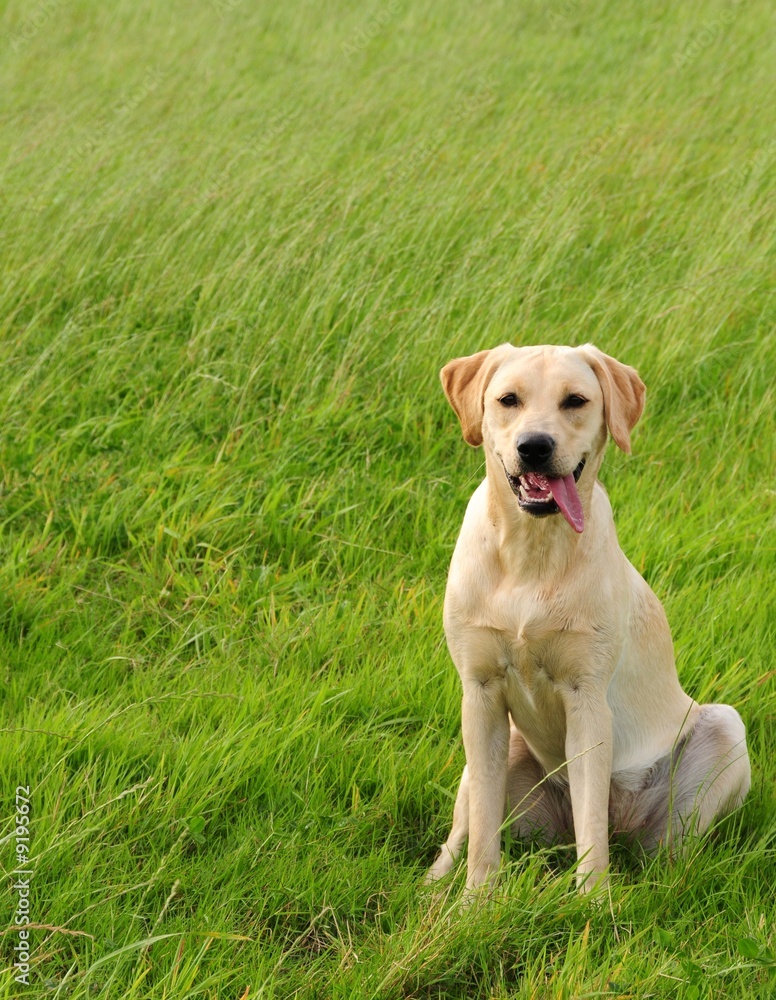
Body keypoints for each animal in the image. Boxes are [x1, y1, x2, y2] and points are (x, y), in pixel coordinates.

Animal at [428, 342, 748, 892]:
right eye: (508, 400)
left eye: (575, 401)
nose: (535, 446)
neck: (532, 554)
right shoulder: (481, 695)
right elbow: (484, 834)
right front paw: (475, 900)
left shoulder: (587, 699)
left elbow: (592, 831)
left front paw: (593, 903)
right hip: (495, 750)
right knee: (463, 829)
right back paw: (432, 886)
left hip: (725, 732)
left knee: (659, 848)